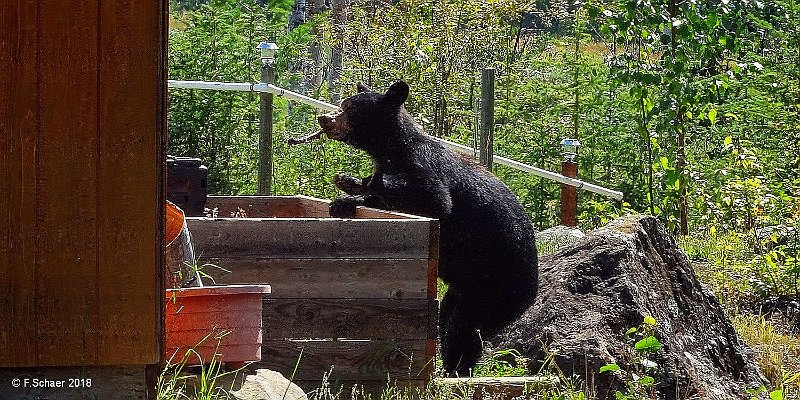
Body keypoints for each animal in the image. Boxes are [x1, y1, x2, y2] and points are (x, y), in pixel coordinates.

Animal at [318, 81, 536, 376]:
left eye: (350, 108)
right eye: (343, 104)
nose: (324, 118)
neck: (392, 148)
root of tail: (534, 286)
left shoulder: (423, 166)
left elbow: (434, 199)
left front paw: (363, 184)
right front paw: (344, 194)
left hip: (499, 288)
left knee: (464, 327)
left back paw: (455, 370)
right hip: (465, 287)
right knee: (447, 316)